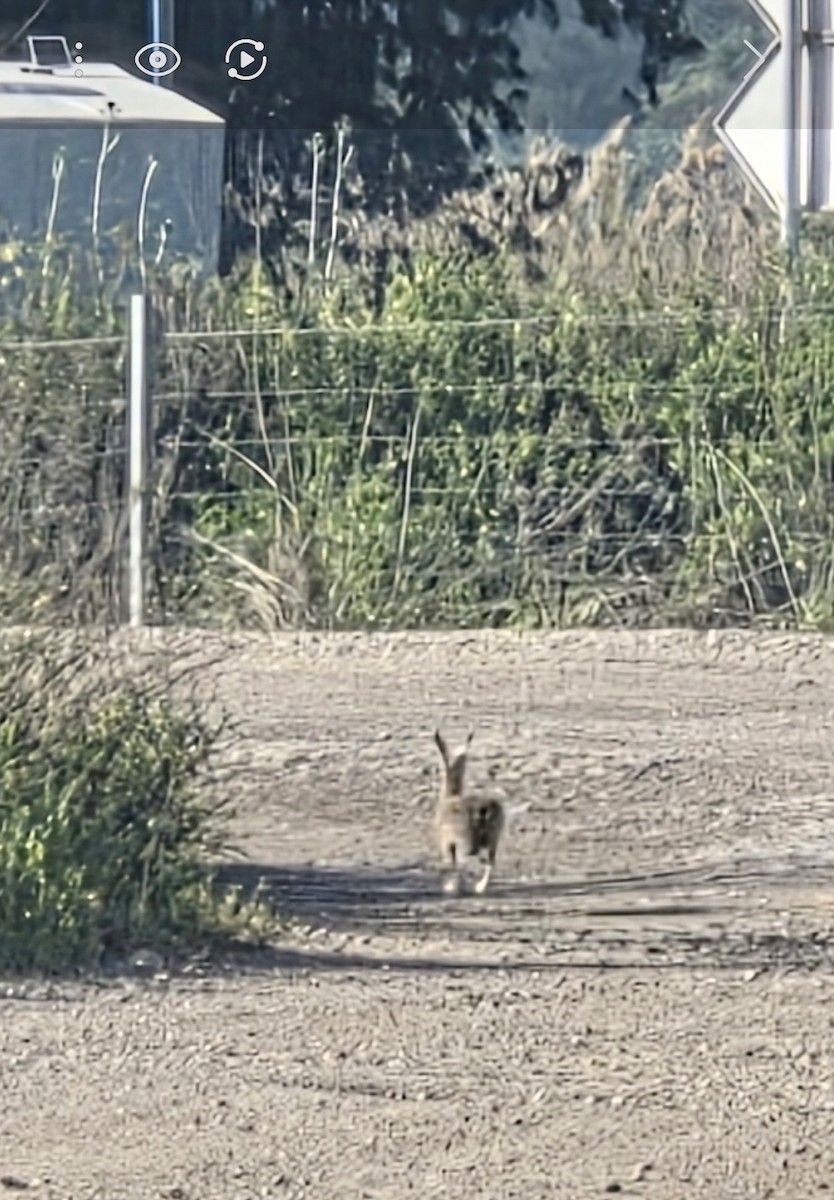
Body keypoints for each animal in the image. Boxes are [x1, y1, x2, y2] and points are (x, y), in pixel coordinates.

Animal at [433, 729, 505, 896]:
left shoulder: (447, 844)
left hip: (464, 842)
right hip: (494, 837)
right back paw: (480, 887)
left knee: (464, 863)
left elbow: (451, 864)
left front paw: (449, 886)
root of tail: (482, 810)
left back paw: (456, 888)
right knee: (491, 861)